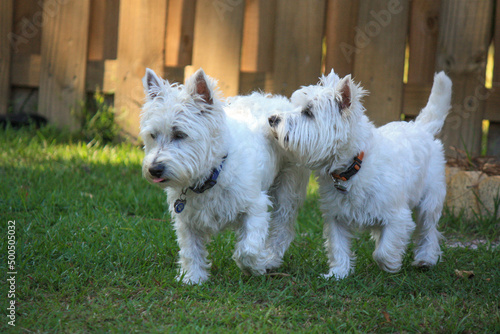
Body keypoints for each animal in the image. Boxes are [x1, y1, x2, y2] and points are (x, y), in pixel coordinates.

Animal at [139, 68, 306, 284]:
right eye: (153, 135)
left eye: (179, 134)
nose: (154, 169)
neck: (212, 174)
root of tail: (280, 101)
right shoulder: (186, 218)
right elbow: (190, 249)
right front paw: (192, 278)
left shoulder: (255, 207)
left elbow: (247, 249)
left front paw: (257, 266)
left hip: (288, 188)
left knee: (283, 227)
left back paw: (272, 258)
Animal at [270, 71, 454, 280]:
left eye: (308, 112)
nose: (272, 119)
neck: (352, 167)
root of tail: (421, 127)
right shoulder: (336, 216)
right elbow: (338, 247)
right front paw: (338, 274)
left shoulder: (398, 216)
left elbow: (383, 251)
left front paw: (390, 265)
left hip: (430, 200)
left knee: (428, 231)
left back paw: (426, 260)